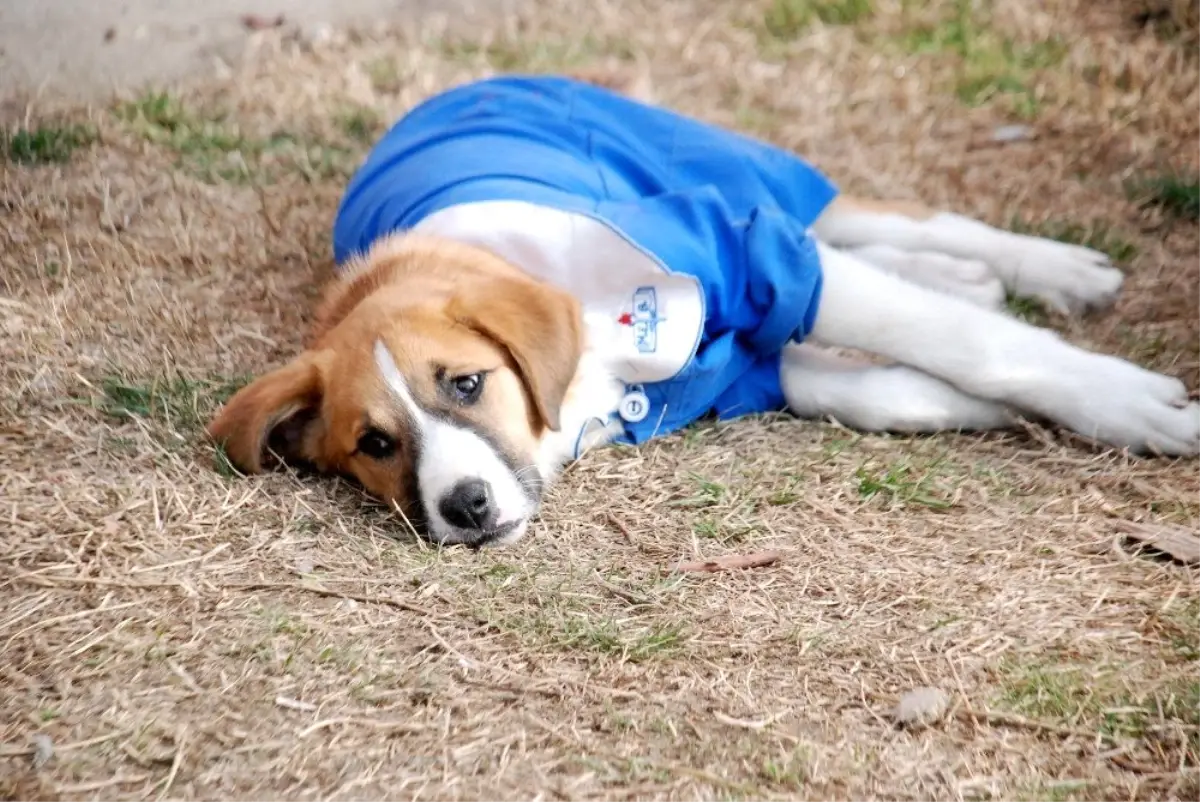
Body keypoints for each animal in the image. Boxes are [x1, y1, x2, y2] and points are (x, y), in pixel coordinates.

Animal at [208, 73, 1200, 545]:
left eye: (466, 383)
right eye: (373, 446)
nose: (466, 508)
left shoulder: (747, 255)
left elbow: (961, 341)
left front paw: (1125, 404)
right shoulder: (733, 371)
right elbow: (874, 385)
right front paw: (975, 408)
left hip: (731, 170)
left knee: (885, 221)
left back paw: (1060, 271)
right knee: (893, 256)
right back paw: (964, 276)